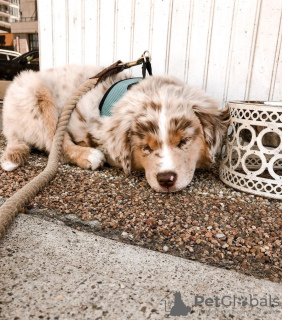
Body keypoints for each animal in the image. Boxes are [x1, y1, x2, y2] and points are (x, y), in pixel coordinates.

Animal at [1, 63, 230, 191]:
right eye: (146, 147)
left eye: (184, 141)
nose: (166, 179)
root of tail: (9, 124)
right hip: (36, 93)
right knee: (55, 143)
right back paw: (88, 155)